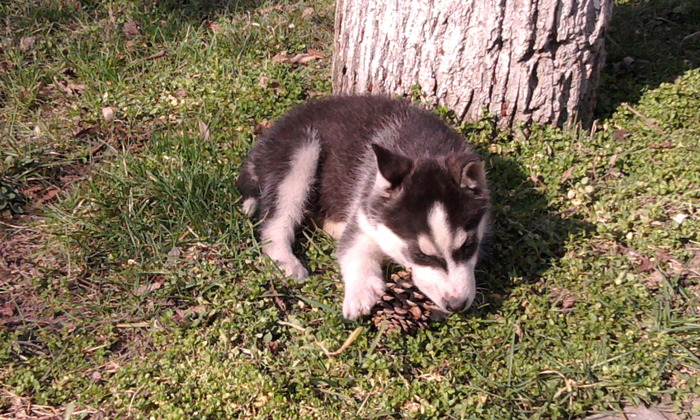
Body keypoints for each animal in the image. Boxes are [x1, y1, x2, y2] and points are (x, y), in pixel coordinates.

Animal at [235, 94, 486, 318]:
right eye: (419, 254)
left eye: (469, 246)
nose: (457, 304)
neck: (423, 149)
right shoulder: (364, 216)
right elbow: (354, 253)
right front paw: (359, 294)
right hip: (299, 153)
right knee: (275, 223)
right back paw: (286, 262)